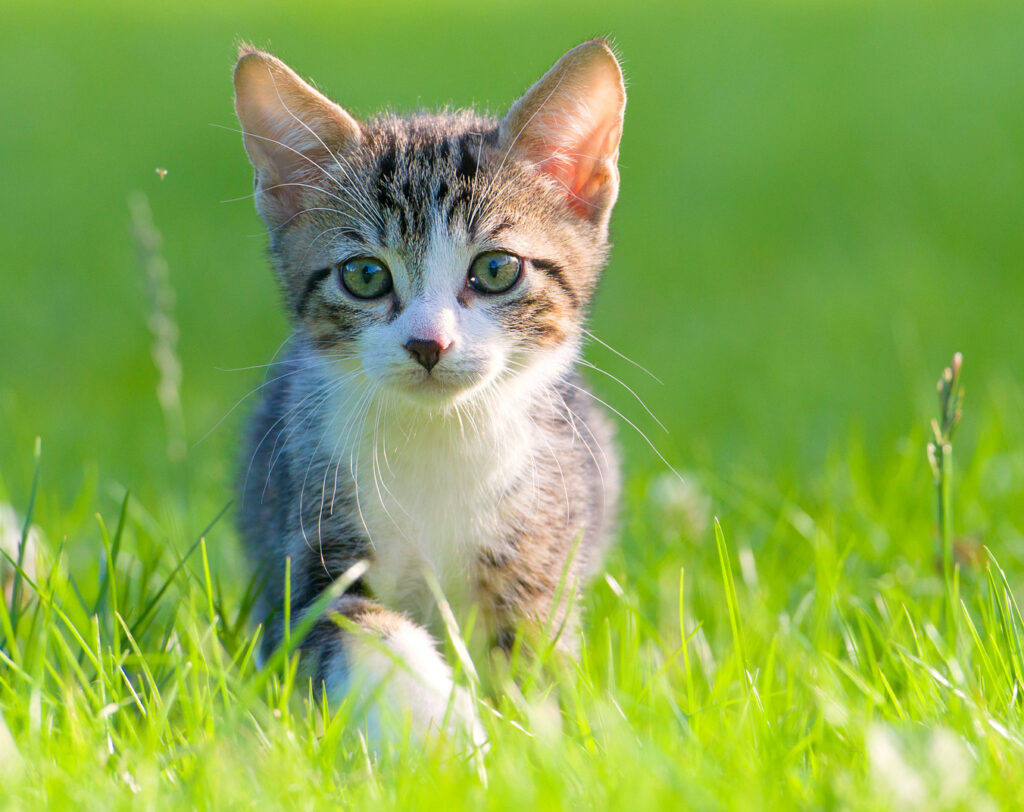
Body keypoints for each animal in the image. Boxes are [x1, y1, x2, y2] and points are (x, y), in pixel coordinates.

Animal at [234, 39, 622, 741]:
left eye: (496, 268)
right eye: (365, 276)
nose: (428, 343)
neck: (437, 444)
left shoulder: (542, 545)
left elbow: (535, 662)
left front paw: (537, 739)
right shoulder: (304, 553)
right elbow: (360, 626)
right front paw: (441, 729)